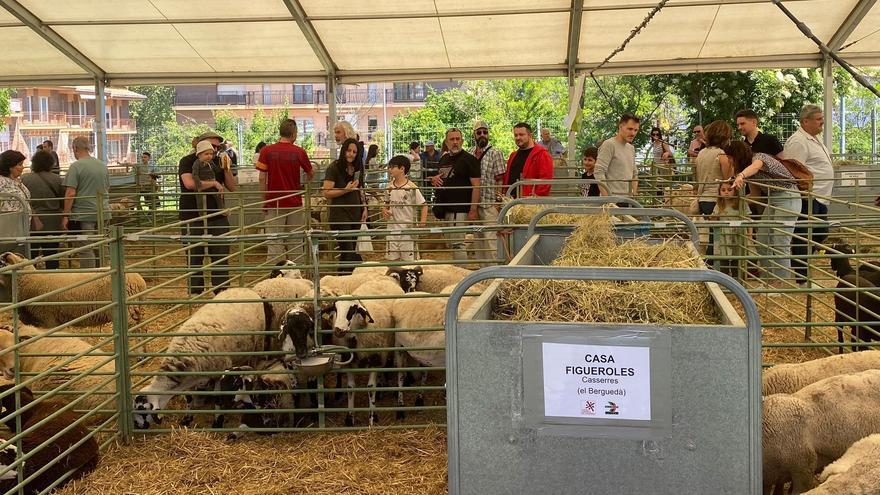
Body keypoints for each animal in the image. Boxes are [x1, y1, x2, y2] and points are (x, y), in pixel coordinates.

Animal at [134, 286, 316, 430]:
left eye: (142, 411)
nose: (137, 427)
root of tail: (246, 289)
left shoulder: (218, 373)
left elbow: (218, 399)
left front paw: (217, 422)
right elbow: (189, 398)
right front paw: (187, 419)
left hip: (257, 343)